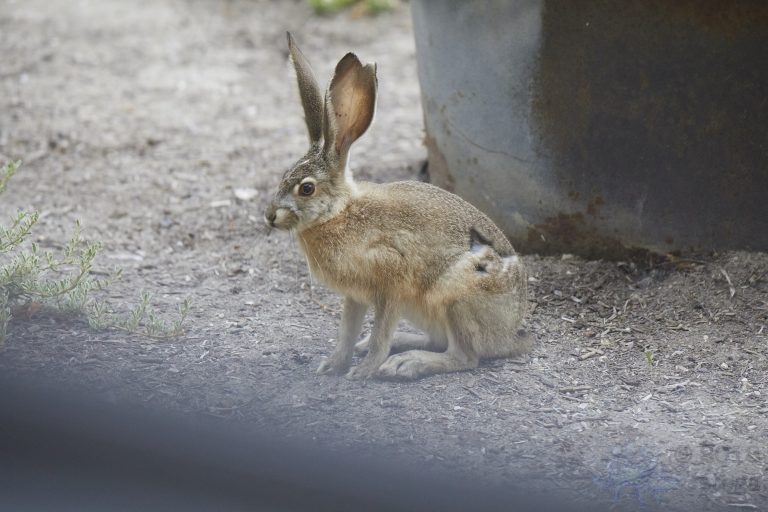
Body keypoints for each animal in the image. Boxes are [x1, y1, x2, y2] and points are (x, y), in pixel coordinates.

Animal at [264, 33, 530, 380]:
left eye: (306, 188)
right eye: (283, 176)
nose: (269, 217)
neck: (339, 213)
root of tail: (509, 334)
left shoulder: (391, 283)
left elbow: (381, 332)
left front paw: (364, 371)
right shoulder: (354, 295)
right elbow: (346, 330)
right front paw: (334, 365)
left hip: (455, 297)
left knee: (464, 356)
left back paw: (405, 364)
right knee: (438, 341)